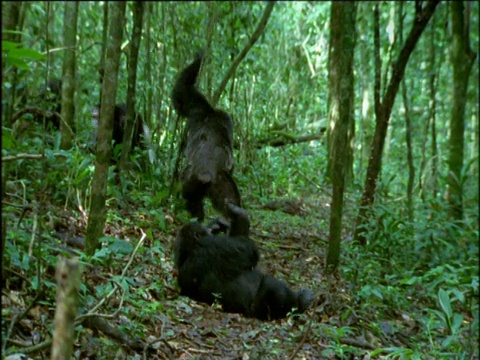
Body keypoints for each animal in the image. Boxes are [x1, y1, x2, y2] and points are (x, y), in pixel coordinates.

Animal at [171, 50, 242, 224]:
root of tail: (207, 175)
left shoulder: (197, 107)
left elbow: (182, 90)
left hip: (192, 179)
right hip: (221, 183)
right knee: (232, 203)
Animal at [174, 202, 314, 320]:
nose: (209, 229)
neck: (193, 248)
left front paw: (218, 223)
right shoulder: (218, 246)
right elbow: (249, 250)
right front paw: (240, 214)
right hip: (263, 309)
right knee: (272, 286)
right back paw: (302, 302)